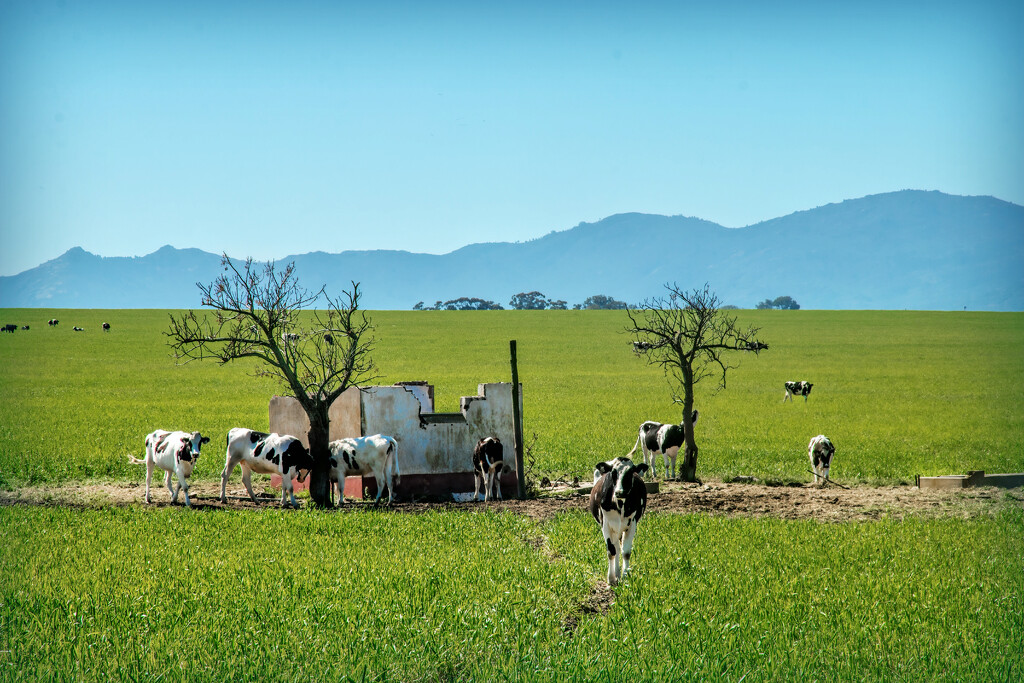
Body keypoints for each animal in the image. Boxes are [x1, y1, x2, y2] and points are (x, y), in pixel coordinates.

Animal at [165, 254, 378, 507]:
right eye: (310, 464)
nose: (307, 475)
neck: (295, 453)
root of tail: (235, 429)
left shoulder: (286, 470)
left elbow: (286, 487)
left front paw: (285, 501)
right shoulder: (285, 468)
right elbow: (289, 486)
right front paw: (292, 503)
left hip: (246, 462)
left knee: (246, 478)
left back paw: (255, 498)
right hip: (232, 458)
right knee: (225, 475)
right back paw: (224, 496)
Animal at [622, 286, 770, 483]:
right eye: (685, 422)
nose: (694, 410)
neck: (675, 435)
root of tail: (645, 423)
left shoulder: (674, 451)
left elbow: (673, 464)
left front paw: (674, 476)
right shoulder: (664, 450)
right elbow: (667, 464)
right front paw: (669, 477)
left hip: (653, 448)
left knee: (652, 461)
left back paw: (654, 474)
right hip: (646, 446)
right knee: (647, 459)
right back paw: (649, 474)